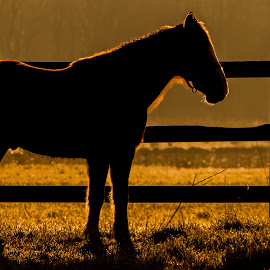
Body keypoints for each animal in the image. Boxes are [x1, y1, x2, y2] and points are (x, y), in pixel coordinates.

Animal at [0, 12, 228, 245]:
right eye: (198, 48)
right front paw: (104, 236)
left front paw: (107, 234)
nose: (221, 89)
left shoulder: (107, 155)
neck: (118, 85)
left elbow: (111, 195)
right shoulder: (111, 154)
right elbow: (105, 195)